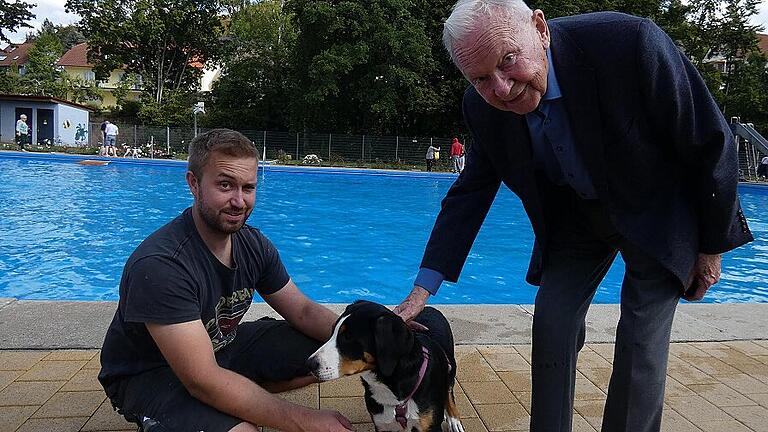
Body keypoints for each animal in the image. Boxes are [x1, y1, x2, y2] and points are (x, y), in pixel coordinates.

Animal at [304, 300, 462, 432]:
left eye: (348, 337)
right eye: (332, 331)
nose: (309, 364)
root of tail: (430, 308)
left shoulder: (430, 427)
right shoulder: (382, 424)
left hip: (450, 368)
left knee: (449, 392)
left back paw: (454, 420)